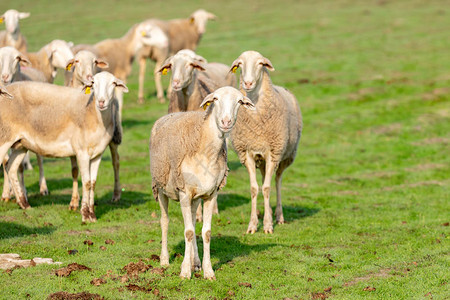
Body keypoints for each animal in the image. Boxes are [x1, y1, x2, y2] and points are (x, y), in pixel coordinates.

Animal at [0, 72, 129, 223]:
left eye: (113, 83)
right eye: (93, 83)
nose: (101, 102)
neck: (94, 115)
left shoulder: (97, 154)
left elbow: (93, 183)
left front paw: (92, 215)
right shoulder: (82, 152)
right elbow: (86, 182)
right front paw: (85, 215)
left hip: (21, 143)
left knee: (11, 167)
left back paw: (24, 204)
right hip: (4, 138)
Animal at [149, 86, 255, 278]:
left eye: (239, 101)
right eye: (216, 99)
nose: (226, 121)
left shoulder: (211, 194)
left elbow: (205, 232)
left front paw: (208, 271)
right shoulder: (183, 192)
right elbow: (189, 232)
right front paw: (184, 272)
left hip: (196, 197)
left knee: (191, 219)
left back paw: (195, 262)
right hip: (160, 187)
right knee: (165, 221)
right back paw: (165, 260)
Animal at [229, 50, 302, 234]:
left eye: (261, 64)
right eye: (239, 64)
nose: (247, 83)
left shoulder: (273, 153)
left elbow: (268, 188)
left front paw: (268, 225)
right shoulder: (247, 153)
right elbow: (255, 188)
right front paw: (252, 225)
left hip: (284, 157)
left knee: (276, 182)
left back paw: (279, 216)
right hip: (261, 161)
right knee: (263, 182)